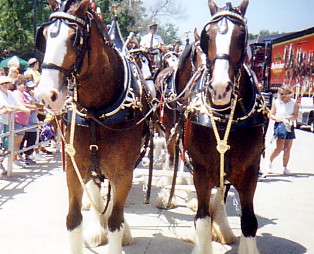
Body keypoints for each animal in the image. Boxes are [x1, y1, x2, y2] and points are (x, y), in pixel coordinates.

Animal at [35, 0, 152, 253]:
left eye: (74, 38)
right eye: (45, 36)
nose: (46, 95)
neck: (97, 114)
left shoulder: (123, 172)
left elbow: (116, 221)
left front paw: (119, 230)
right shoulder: (74, 170)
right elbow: (73, 221)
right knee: (98, 188)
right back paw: (98, 226)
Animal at [184, 0, 268, 253]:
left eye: (242, 37)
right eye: (207, 36)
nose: (220, 88)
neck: (222, 120)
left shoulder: (249, 171)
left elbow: (249, 223)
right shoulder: (200, 170)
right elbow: (201, 219)